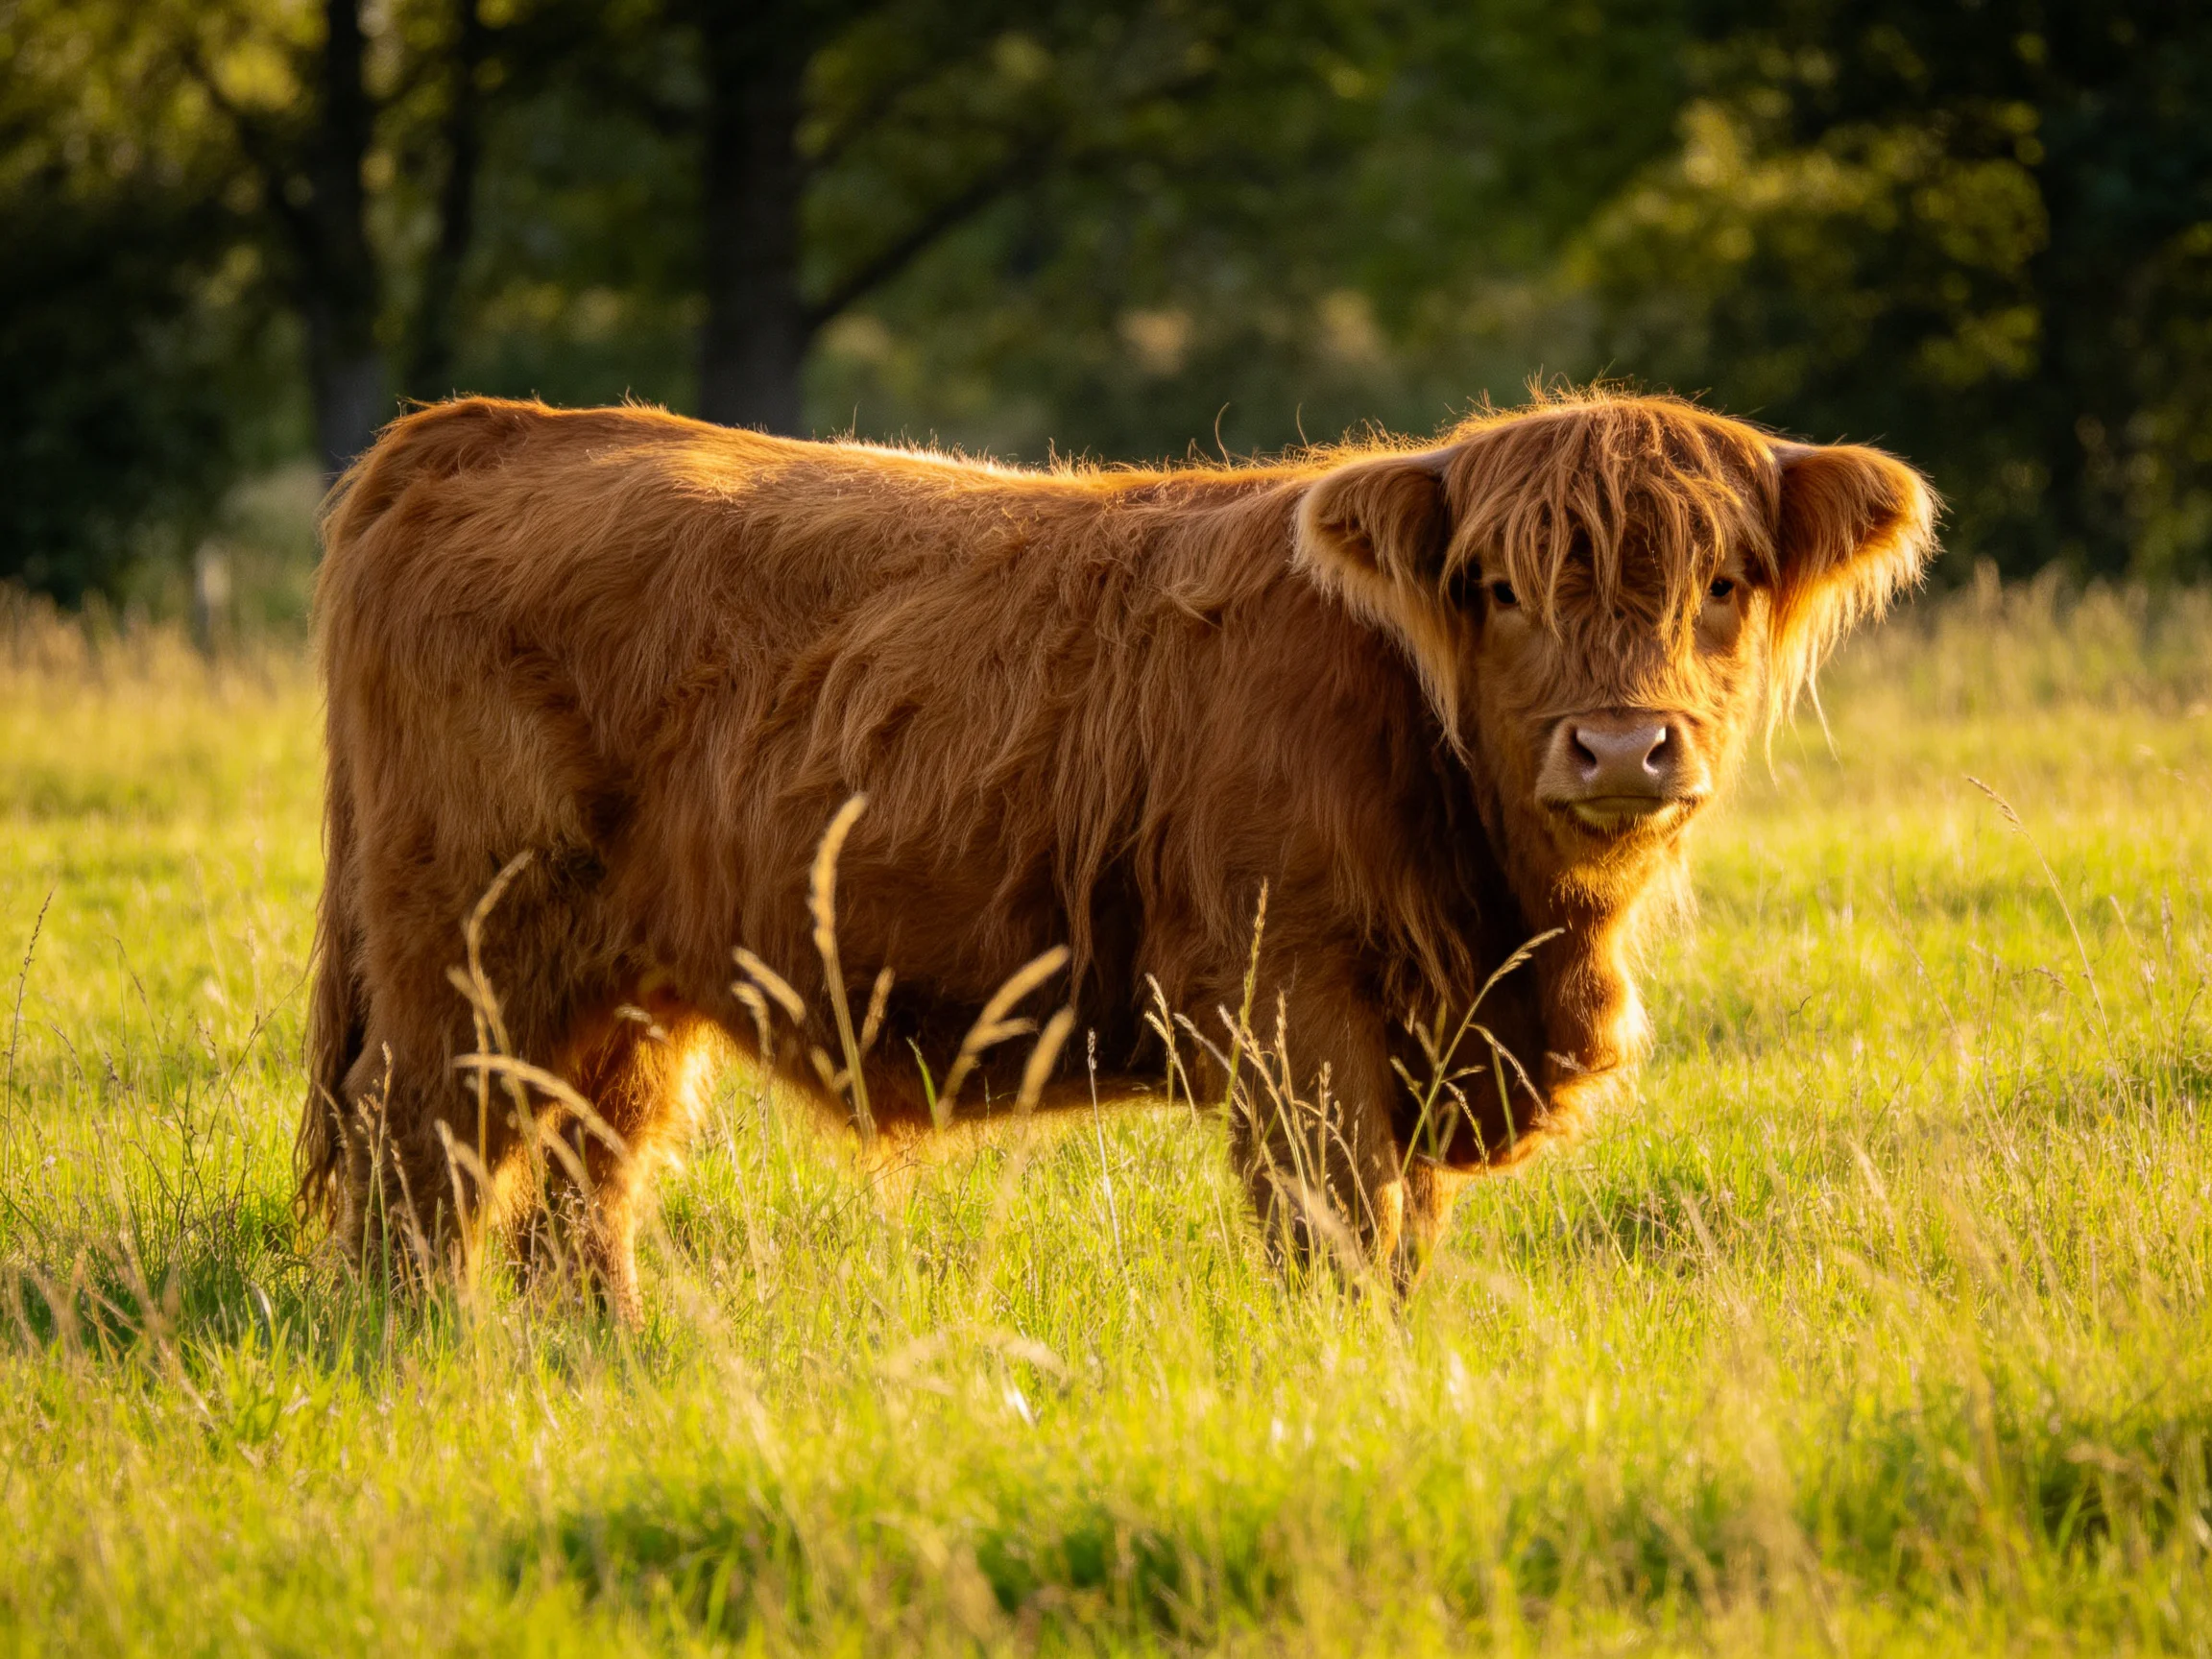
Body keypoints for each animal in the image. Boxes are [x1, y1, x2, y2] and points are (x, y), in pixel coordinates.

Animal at [296, 389, 1936, 1315]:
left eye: (1722, 585)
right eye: (1500, 588)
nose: (1621, 748)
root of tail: (487, 424)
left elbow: (1403, 1231)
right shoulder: (1293, 1004)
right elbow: (1340, 1230)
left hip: (619, 984)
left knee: (586, 1168)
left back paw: (602, 1350)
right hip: (465, 950)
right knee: (422, 1160)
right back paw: (423, 1350)